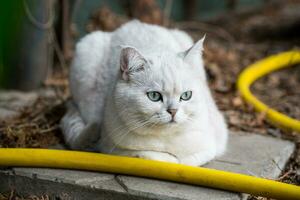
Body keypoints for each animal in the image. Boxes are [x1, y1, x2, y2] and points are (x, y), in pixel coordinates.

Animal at [61, 19, 230, 166]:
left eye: (186, 96)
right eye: (154, 96)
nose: (173, 111)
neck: (165, 139)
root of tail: (133, 23)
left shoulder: (211, 143)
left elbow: (187, 160)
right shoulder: (111, 147)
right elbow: (154, 156)